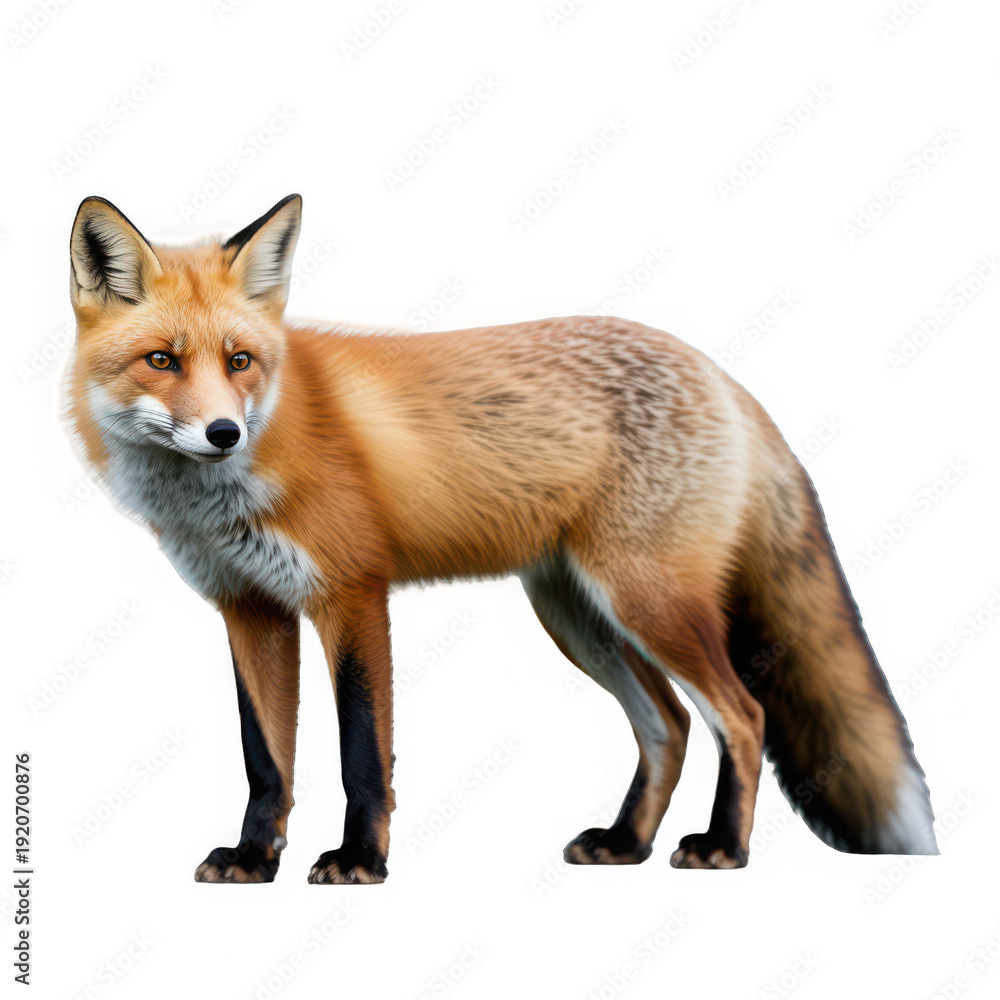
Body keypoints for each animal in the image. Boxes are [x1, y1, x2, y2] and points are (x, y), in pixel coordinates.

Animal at [63, 193, 938, 884]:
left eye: (240, 360)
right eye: (162, 361)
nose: (224, 433)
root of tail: (718, 374)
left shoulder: (352, 595)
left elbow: (362, 750)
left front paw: (360, 860)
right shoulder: (250, 609)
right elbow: (265, 759)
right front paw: (253, 859)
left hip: (646, 603)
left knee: (743, 717)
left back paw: (724, 848)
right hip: (581, 618)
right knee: (671, 724)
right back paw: (626, 843)